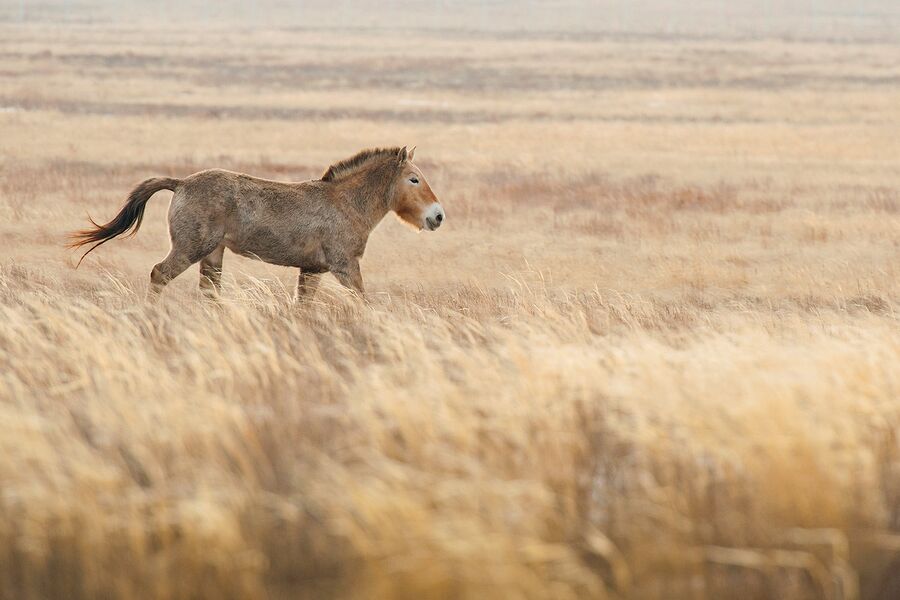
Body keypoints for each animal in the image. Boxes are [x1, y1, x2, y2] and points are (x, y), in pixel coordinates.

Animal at [71, 146, 446, 300]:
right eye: (414, 179)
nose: (438, 215)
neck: (345, 203)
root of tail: (181, 183)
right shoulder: (345, 267)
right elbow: (364, 302)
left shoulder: (312, 270)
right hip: (192, 249)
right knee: (159, 274)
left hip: (213, 255)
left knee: (209, 292)